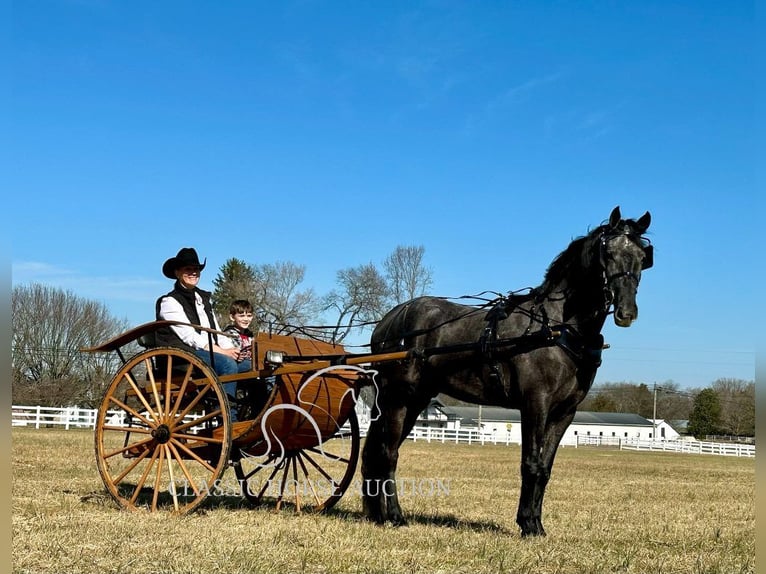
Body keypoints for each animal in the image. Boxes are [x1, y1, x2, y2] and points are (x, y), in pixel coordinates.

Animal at [360, 207, 656, 540]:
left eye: (642, 256)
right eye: (609, 253)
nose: (626, 312)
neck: (556, 329)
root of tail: (389, 320)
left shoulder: (564, 412)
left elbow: (545, 468)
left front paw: (537, 524)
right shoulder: (535, 404)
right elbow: (531, 464)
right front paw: (527, 524)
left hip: (415, 399)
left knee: (382, 451)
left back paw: (380, 514)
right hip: (398, 396)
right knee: (389, 453)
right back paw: (396, 516)